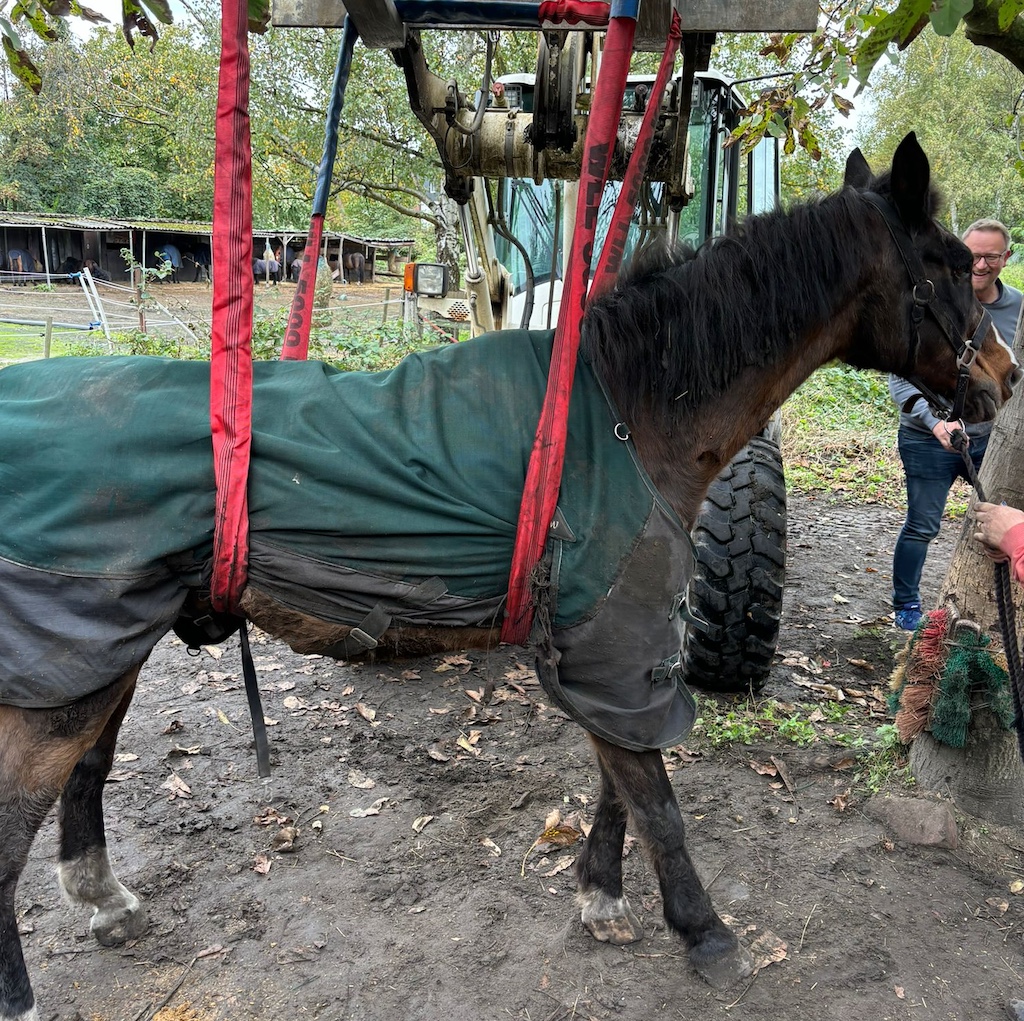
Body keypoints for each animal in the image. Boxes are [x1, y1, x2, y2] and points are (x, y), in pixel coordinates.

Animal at [0, 135, 1019, 1019]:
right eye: (943, 267)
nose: (1004, 377)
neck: (626, 410)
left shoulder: (623, 644)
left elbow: (622, 781)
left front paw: (602, 897)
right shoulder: (611, 635)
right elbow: (656, 798)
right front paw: (704, 932)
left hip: (102, 654)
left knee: (86, 775)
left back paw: (105, 899)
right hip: (65, 674)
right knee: (13, 827)